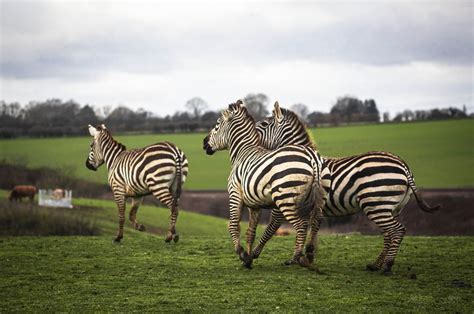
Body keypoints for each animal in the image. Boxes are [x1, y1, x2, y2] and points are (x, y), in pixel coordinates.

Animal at [202, 101, 328, 270]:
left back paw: (295, 258)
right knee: (314, 222)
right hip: (314, 201)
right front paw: (248, 259)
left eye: (216, 125)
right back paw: (307, 256)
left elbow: (234, 225)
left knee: (301, 226)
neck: (242, 152)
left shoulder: (235, 194)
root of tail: (312, 158)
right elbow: (251, 231)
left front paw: (241, 252)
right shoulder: (255, 204)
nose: (204, 143)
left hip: (286, 200)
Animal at [258, 103, 438, 274]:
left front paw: (255, 253)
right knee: (389, 234)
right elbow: (311, 230)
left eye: (264, 124)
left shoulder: (283, 204)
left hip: (376, 204)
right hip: (392, 208)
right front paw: (308, 256)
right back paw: (375, 265)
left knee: (397, 231)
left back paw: (387, 266)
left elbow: (270, 230)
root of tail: (403, 165)